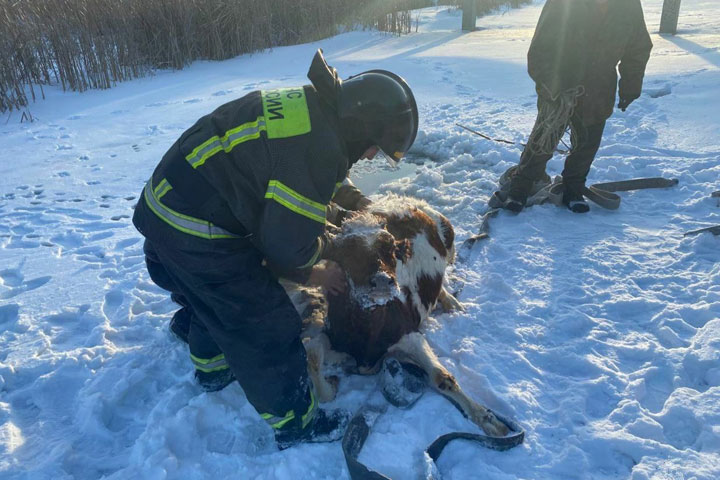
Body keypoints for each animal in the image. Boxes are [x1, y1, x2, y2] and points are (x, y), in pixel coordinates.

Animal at [284, 193, 510, 436]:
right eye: (346, 253)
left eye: (391, 248)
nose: (382, 281)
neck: (366, 331)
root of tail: (402, 200)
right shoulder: (334, 334)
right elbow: (312, 355)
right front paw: (330, 385)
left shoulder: (409, 334)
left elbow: (442, 377)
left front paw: (488, 419)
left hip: (450, 246)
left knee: (441, 282)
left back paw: (452, 302)